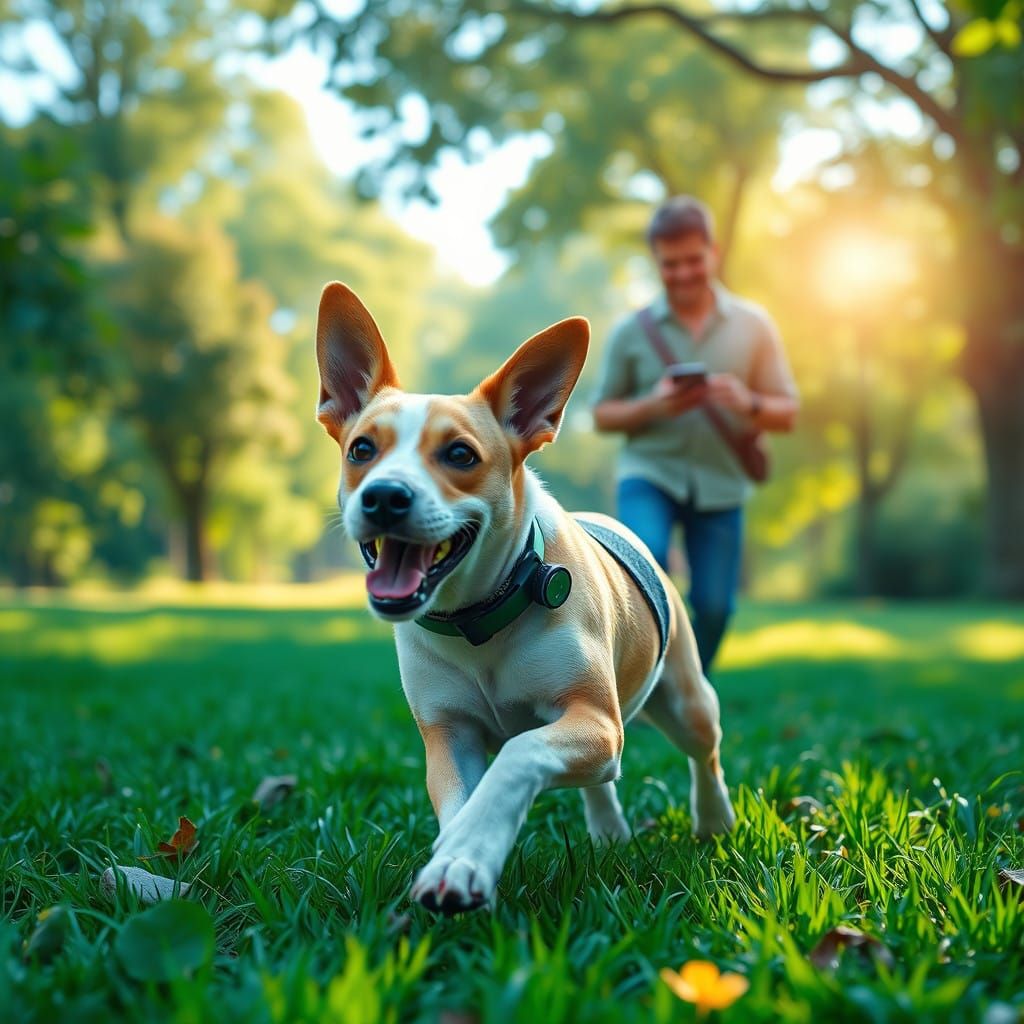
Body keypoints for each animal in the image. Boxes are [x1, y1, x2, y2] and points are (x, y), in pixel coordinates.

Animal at [313, 284, 737, 917]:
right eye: (362, 449)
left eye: (460, 455)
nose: (385, 496)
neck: (478, 618)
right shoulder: (449, 732)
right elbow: (461, 796)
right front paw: (458, 858)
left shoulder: (591, 718)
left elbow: (518, 754)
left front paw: (467, 853)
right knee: (600, 782)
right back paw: (609, 833)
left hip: (685, 698)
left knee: (703, 750)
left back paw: (714, 821)